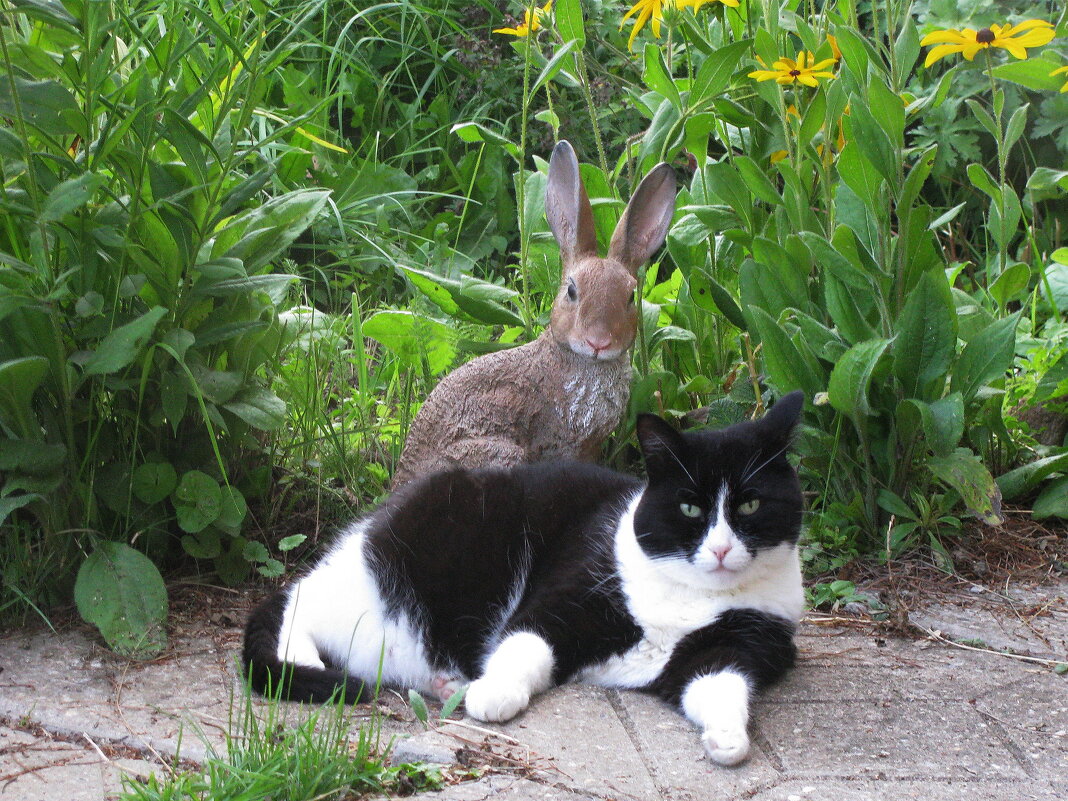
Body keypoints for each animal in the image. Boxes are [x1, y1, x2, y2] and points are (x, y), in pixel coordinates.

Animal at [242, 393, 803, 768]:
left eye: (750, 505)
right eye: (690, 508)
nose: (722, 549)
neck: (691, 597)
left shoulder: (741, 642)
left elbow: (720, 684)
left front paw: (728, 740)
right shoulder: (570, 597)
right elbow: (525, 644)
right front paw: (494, 695)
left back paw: (444, 681)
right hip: (394, 581)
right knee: (298, 601)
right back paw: (310, 661)